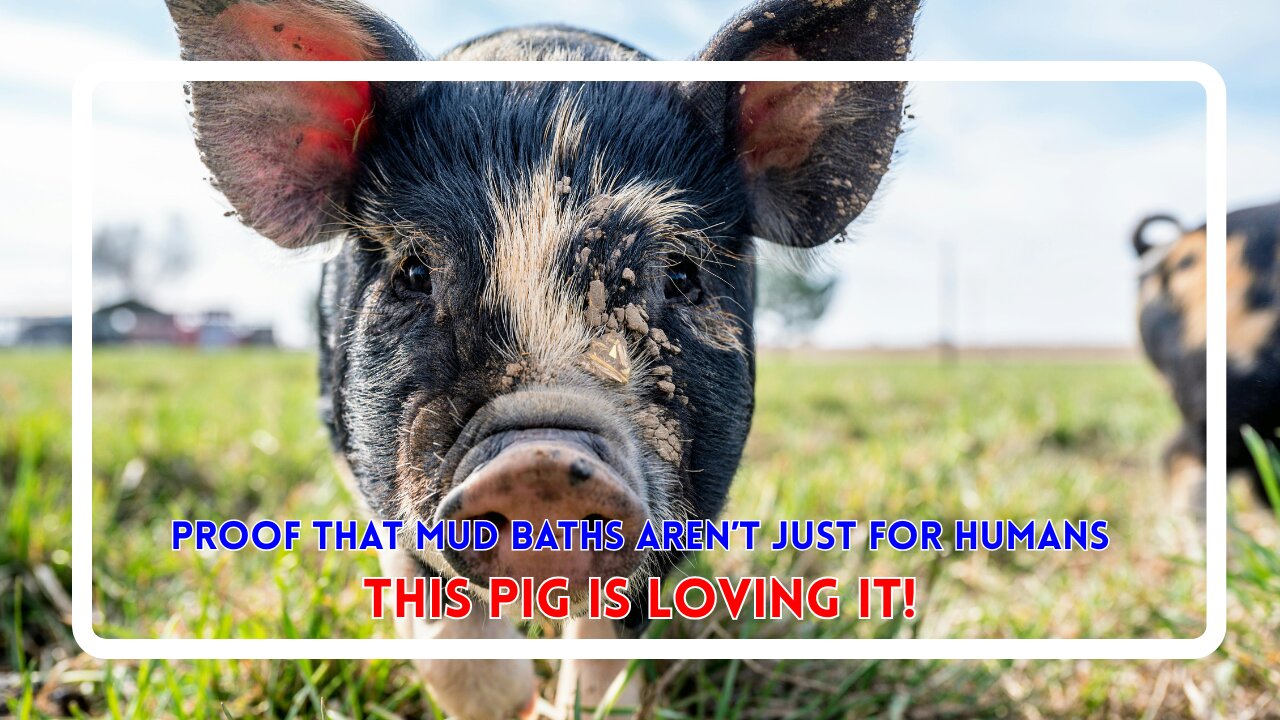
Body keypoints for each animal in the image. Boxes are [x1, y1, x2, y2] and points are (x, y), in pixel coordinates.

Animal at [165, 0, 917, 716]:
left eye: (680, 275)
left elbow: (613, 638)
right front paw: (526, 706)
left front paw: (581, 706)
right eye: (414, 271)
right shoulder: (378, 471)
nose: (542, 463)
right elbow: (449, 636)